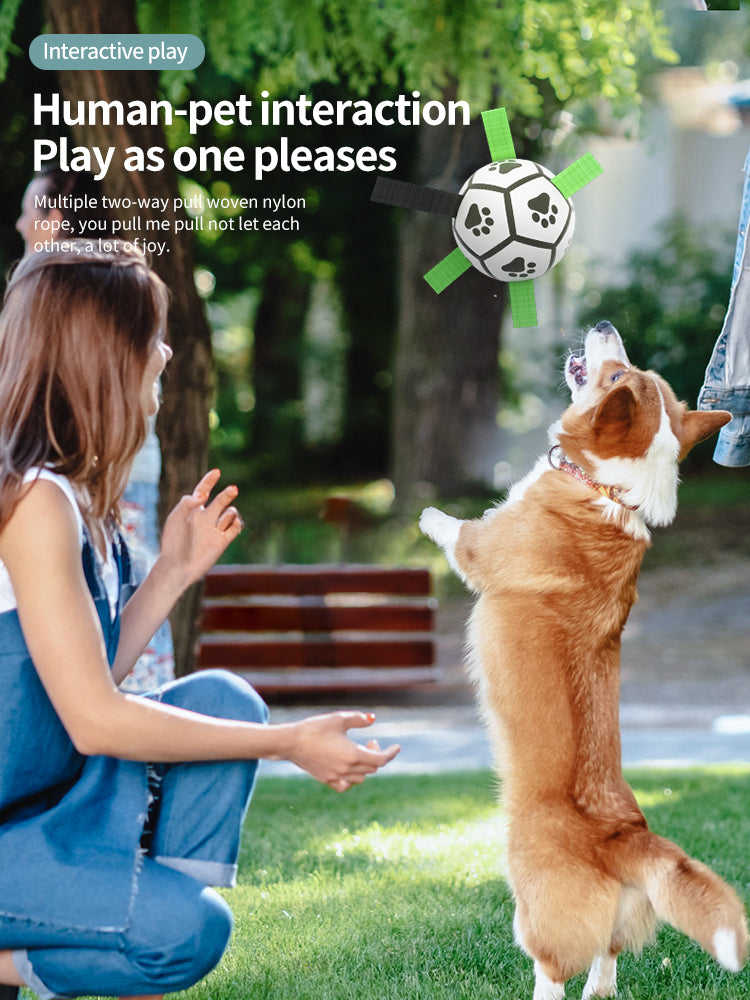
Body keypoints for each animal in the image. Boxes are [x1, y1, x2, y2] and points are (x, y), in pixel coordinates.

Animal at [424, 324, 748, 996]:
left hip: (533, 916)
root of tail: (623, 837)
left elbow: (459, 531)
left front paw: (428, 513)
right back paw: (604, 987)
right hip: (619, 922)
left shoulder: (481, 550)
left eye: (616, 373)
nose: (604, 327)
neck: (607, 490)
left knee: (553, 970)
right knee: (607, 960)